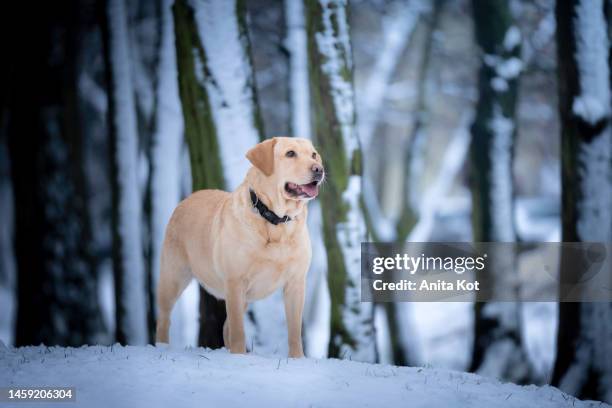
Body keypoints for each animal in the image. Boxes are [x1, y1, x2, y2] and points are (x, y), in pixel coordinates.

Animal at [155, 136, 322, 356]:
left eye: (313, 155)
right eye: (290, 154)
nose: (319, 169)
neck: (274, 221)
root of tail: (187, 198)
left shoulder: (295, 283)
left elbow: (294, 332)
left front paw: (297, 359)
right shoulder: (235, 281)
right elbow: (238, 330)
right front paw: (239, 357)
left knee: (227, 326)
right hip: (174, 277)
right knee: (164, 318)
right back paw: (162, 347)